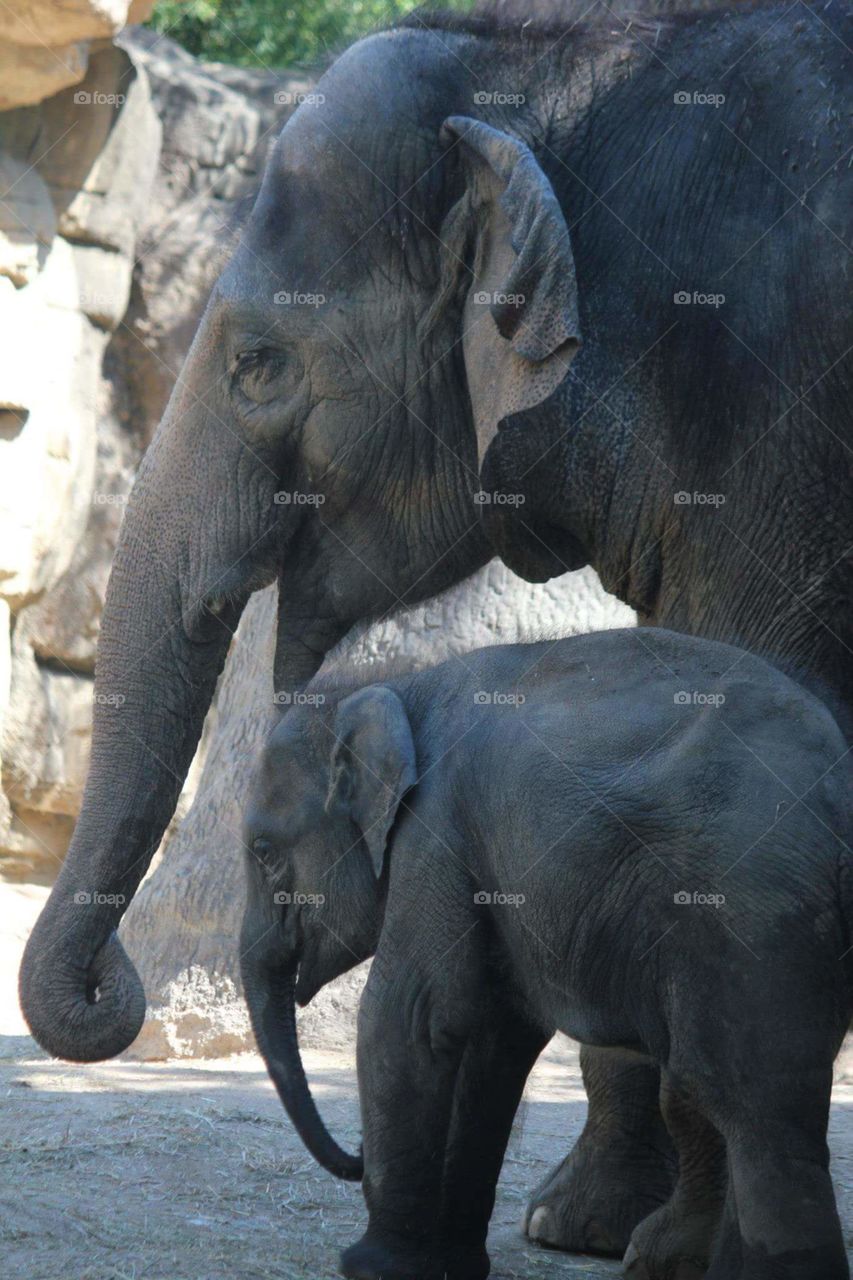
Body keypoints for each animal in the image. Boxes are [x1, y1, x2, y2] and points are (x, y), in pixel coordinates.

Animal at [240, 628, 853, 1280]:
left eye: (264, 851)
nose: (354, 1152)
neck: (401, 685)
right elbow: (494, 1036)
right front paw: (453, 1266)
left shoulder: (435, 827)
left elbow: (411, 1016)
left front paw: (373, 1267)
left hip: (746, 908)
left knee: (750, 1104)